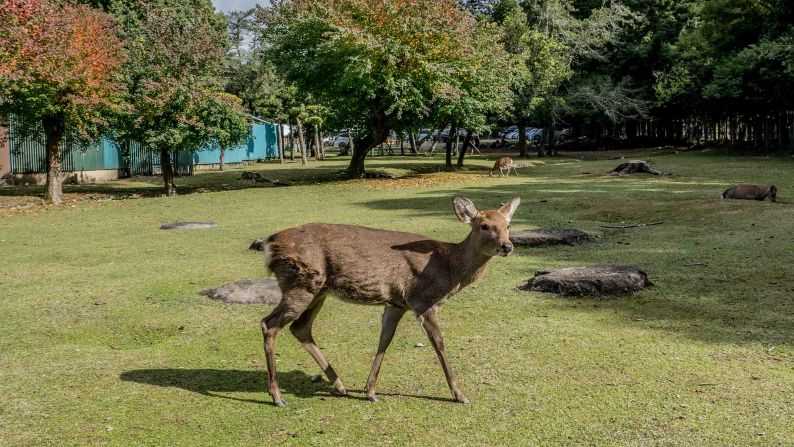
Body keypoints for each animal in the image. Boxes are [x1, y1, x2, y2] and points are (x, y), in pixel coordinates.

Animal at [260, 198, 520, 408]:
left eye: (508, 225)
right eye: (484, 225)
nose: (507, 246)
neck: (449, 269)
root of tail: (269, 245)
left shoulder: (396, 303)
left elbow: (384, 340)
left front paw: (370, 391)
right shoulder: (423, 301)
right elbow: (439, 343)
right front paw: (460, 395)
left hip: (317, 291)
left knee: (300, 328)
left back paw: (340, 385)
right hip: (300, 285)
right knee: (269, 324)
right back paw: (277, 396)